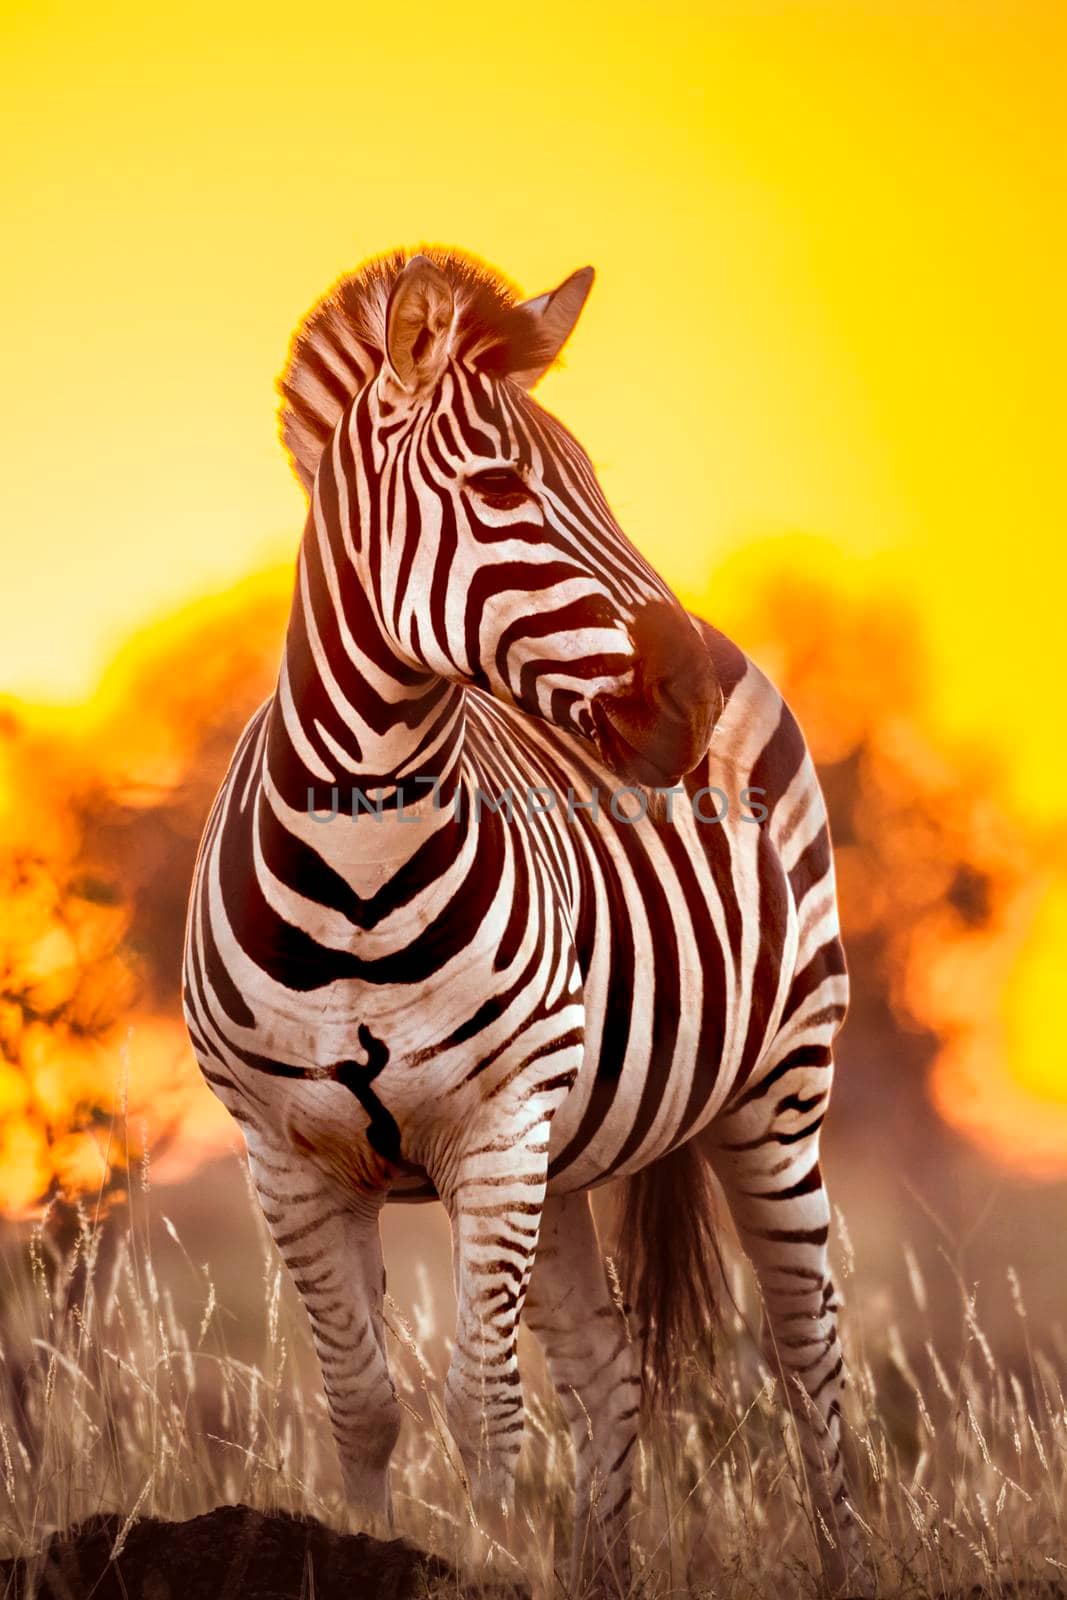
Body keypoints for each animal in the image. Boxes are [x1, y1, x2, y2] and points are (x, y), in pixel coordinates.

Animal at [183, 243, 870, 1593]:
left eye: (594, 477)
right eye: (501, 486)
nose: (689, 699)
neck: (359, 871)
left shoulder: (496, 1131)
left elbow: (484, 1407)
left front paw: (485, 1558)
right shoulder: (286, 1160)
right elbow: (365, 1409)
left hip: (775, 1087)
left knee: (806, 1342)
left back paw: (850, 1559)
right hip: (563, 1152)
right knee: (609, 1372)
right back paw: (605, 1569)